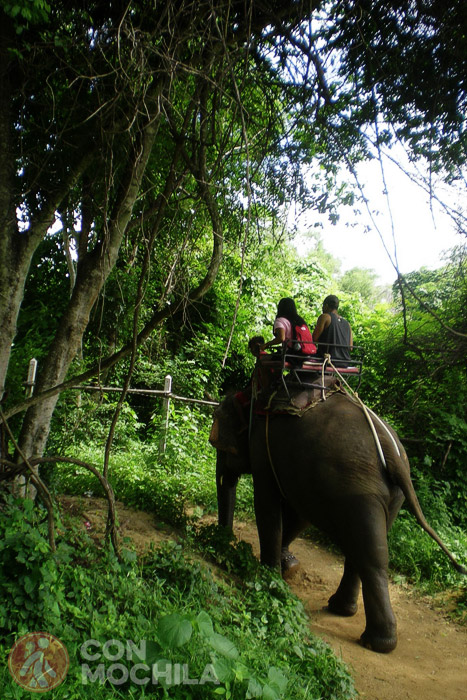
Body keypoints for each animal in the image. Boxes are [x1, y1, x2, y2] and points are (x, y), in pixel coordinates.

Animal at [210, 386, 466, 652]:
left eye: (222, 447)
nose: (223, 543)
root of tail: (393, 453)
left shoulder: (263, 449)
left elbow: (268, 508)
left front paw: (268, 578)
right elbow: (300, 514)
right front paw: (288, 566)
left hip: (357, 488)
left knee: (368, 554)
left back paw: (375, 642)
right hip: (388, 496)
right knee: (366, 548)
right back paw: (345, 612)